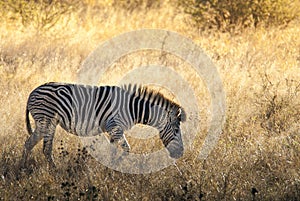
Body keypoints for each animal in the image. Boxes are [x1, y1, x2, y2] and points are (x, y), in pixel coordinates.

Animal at [19, 81, 186, 168]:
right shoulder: (115, 126)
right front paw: (116, 166)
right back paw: (54, 170)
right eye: (176, 130)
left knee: (29, 143)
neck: (133, 108)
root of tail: (32, 92)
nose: (180, 154)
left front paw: (109, 166)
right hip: (47, 121)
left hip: (42, 123)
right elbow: (126, 148)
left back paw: (21, 168)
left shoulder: (113, 129)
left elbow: (112, 150)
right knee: (46, 149)